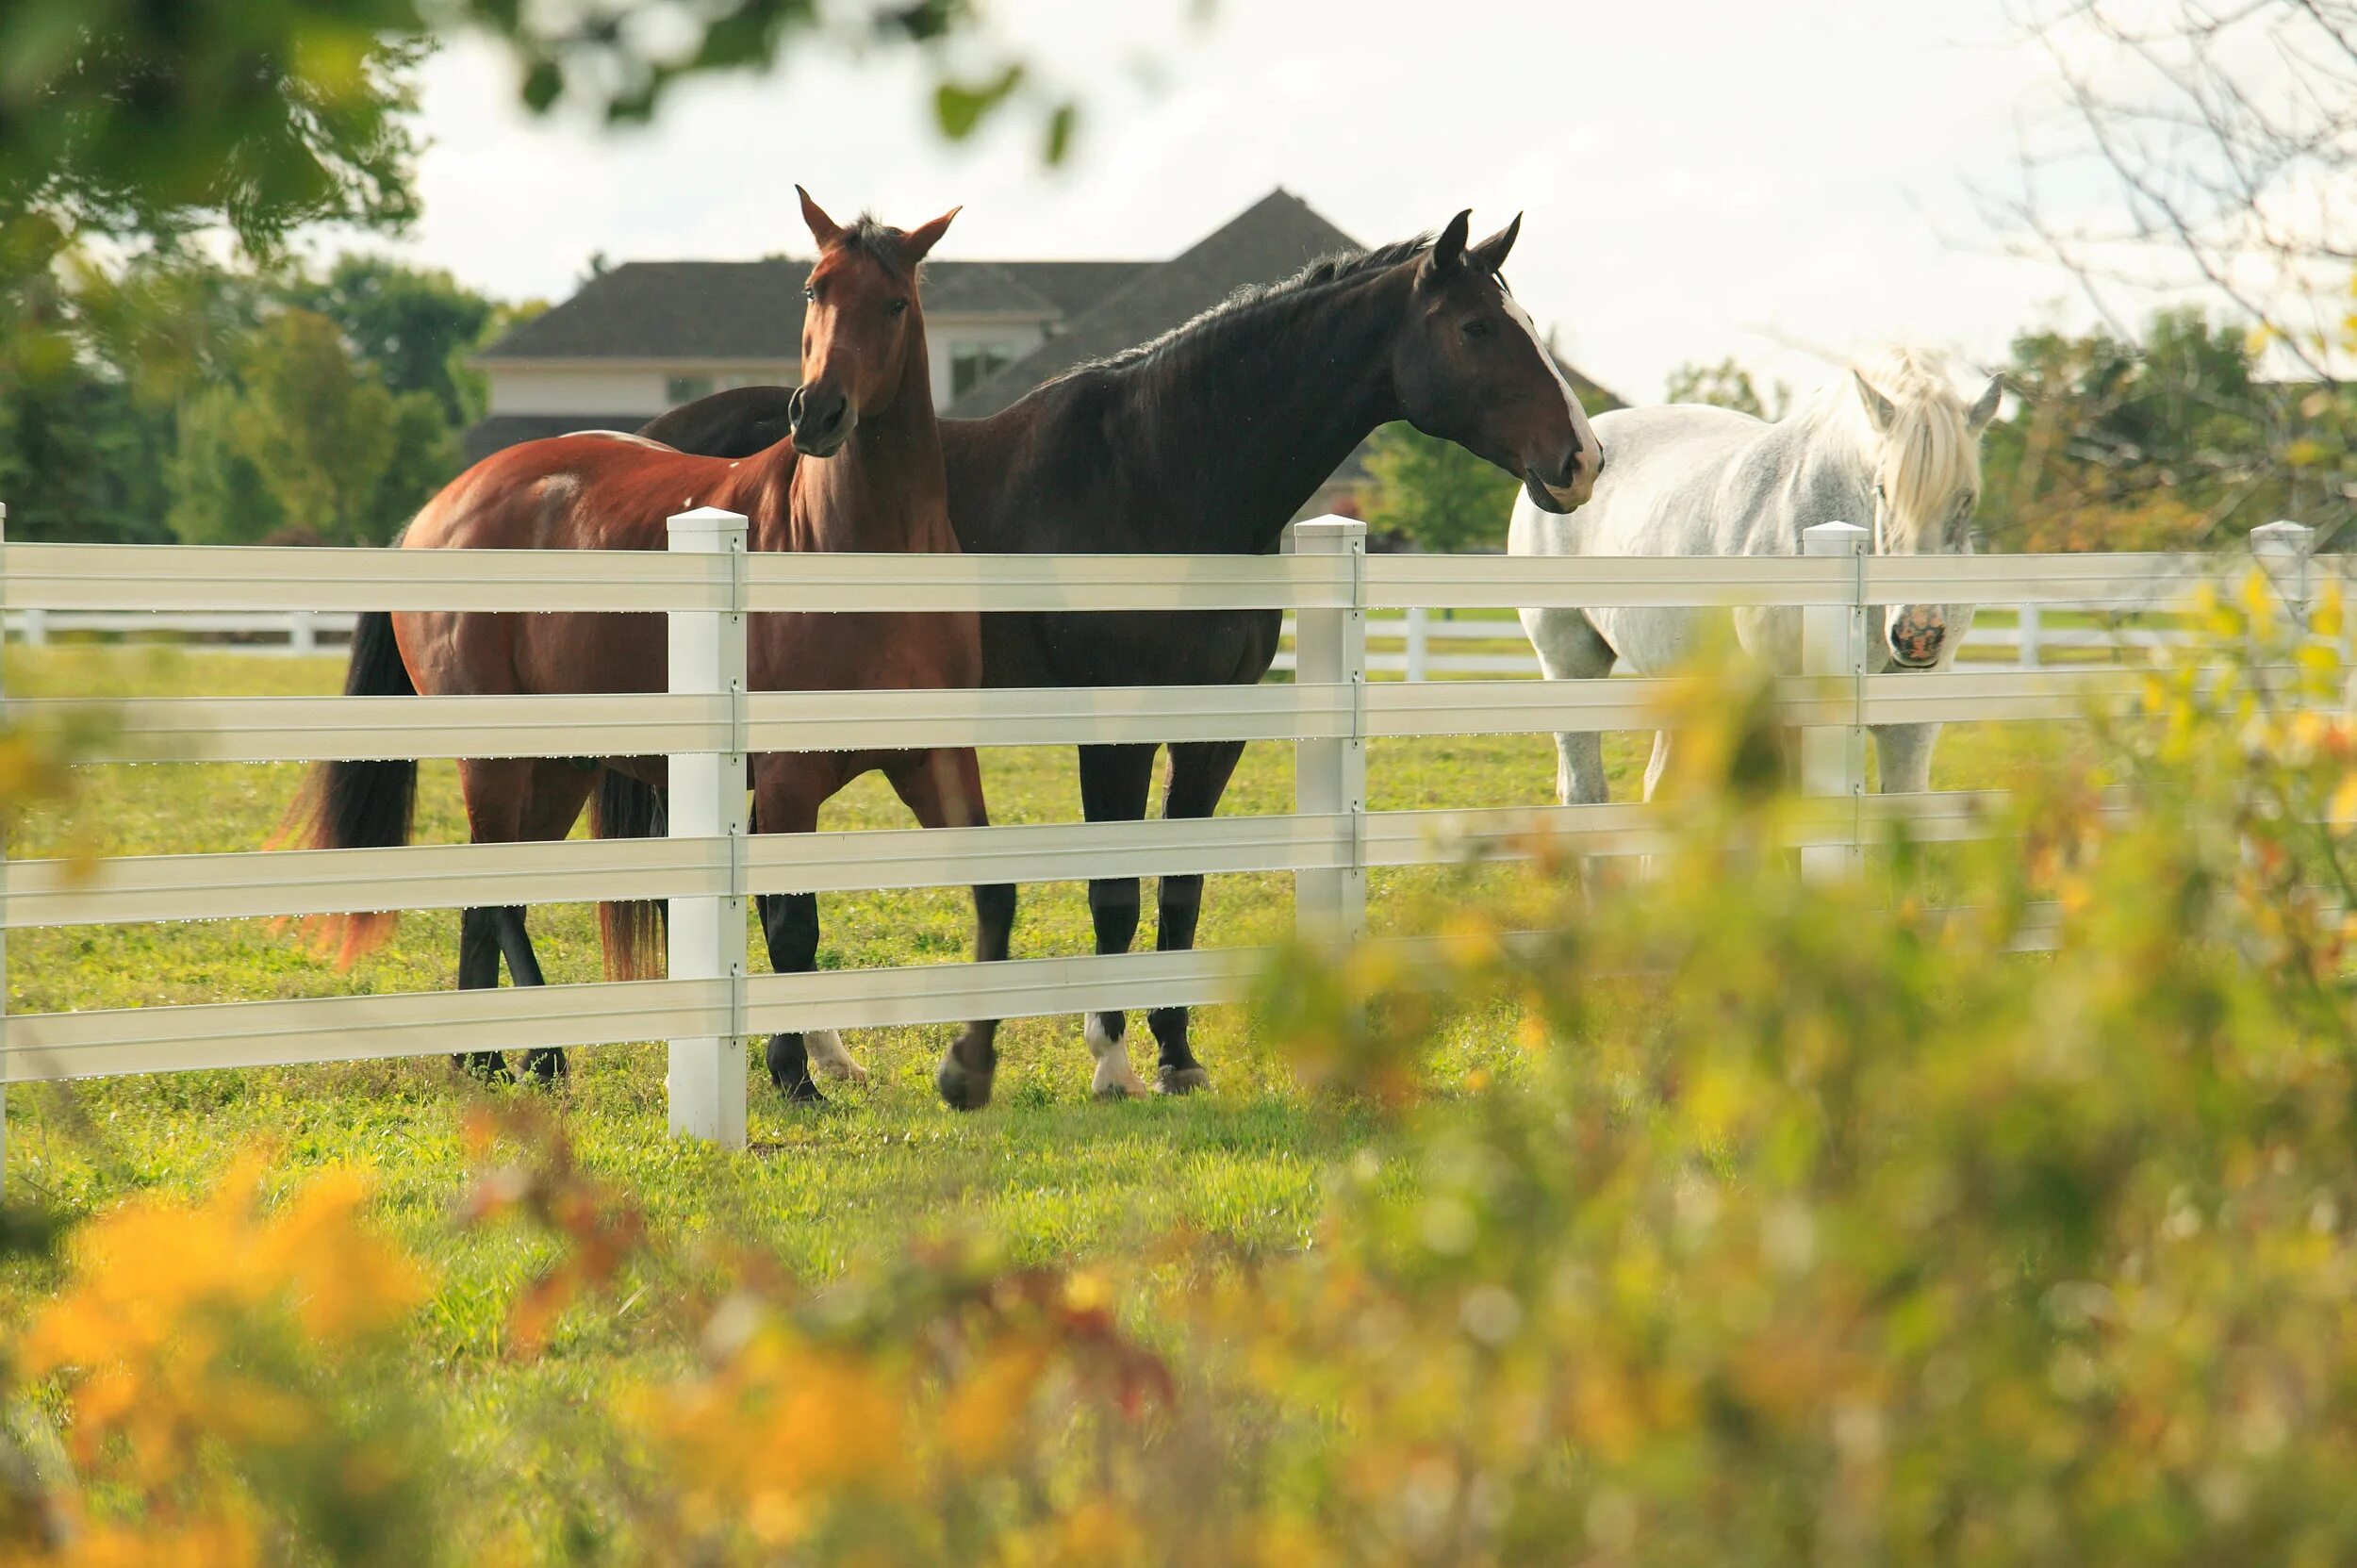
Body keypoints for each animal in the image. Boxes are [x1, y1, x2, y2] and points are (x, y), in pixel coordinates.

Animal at [275, 190, 1014, 1108]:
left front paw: (966, 1067)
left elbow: (994, 893)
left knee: (494, 893)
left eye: (894, 303)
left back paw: (483, 1058)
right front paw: (793, 1073)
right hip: (496, 756)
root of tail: (438, 509)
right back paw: (543, 1051)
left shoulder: (934, 757)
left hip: (559, 767)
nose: (817, 414)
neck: (854, 546)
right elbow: (791, 923)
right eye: (813, 290)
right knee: (501, 892)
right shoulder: (788, 776)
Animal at [636, 205, 1593, 1089]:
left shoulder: (1213, 729)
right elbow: (1116, 892)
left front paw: (1177, 1054)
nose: (1582, 459)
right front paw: (1112, 1059)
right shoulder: (1115, 728)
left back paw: (827, 1055)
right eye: (1477, 327)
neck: (1155, 472)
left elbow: (1180, 889)